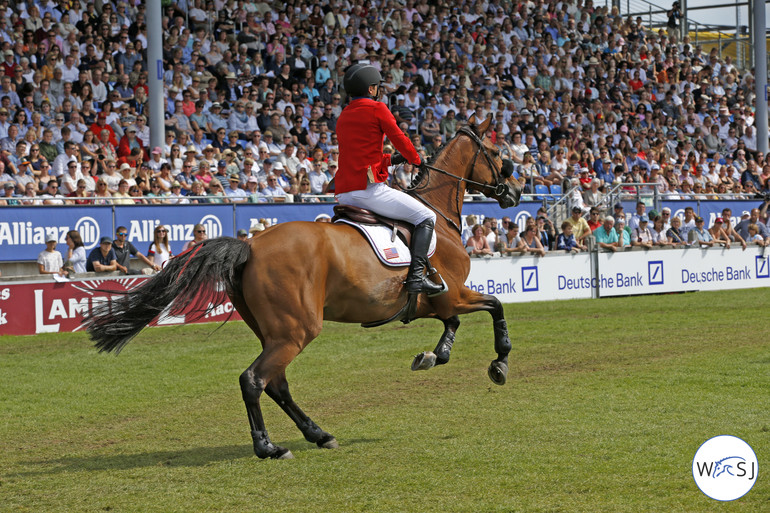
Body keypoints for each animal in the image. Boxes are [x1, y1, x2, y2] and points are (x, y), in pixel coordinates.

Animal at [88, 114, 520, 458]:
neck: (437, 217)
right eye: (497, 152)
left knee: (276, 384)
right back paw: (269, 447)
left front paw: (433, 355)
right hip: (297, 330)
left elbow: (454, 324)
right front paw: (499, 363)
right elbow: (495, 306)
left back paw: (319, 434)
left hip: (276, 332)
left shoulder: (440, 303)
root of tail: (250, 245)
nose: (514, 192)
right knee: (254, 380)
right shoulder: (455, 295)